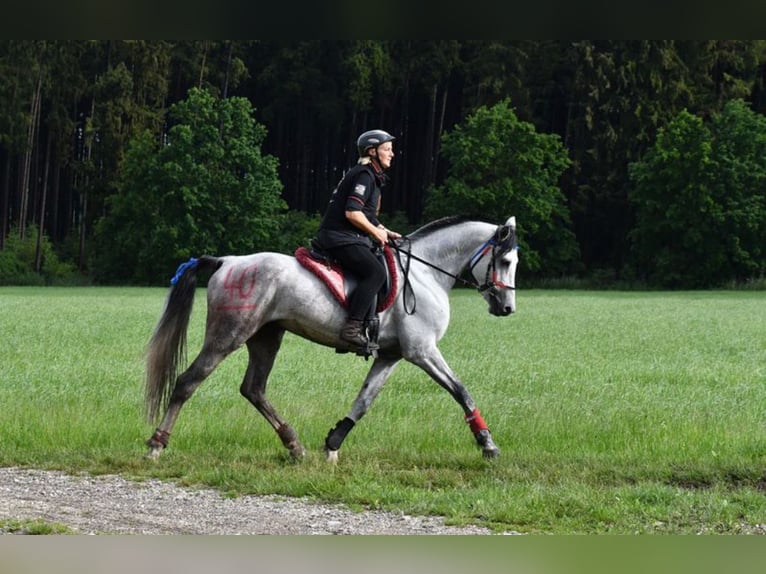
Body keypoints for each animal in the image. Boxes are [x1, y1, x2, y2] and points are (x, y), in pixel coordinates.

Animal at [146, 216, 520, 464]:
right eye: (505, 260)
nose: (507, 308)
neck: (426, 273)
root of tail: (227, 261)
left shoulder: (391, 355)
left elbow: (364, 401)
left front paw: (332, 444)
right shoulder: (422, 351)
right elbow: (460, 390)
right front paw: (487, 444)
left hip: (267, 336)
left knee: (253, 389)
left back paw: (294, 445)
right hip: (229, 335)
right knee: (188, 381)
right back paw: (156, 444)